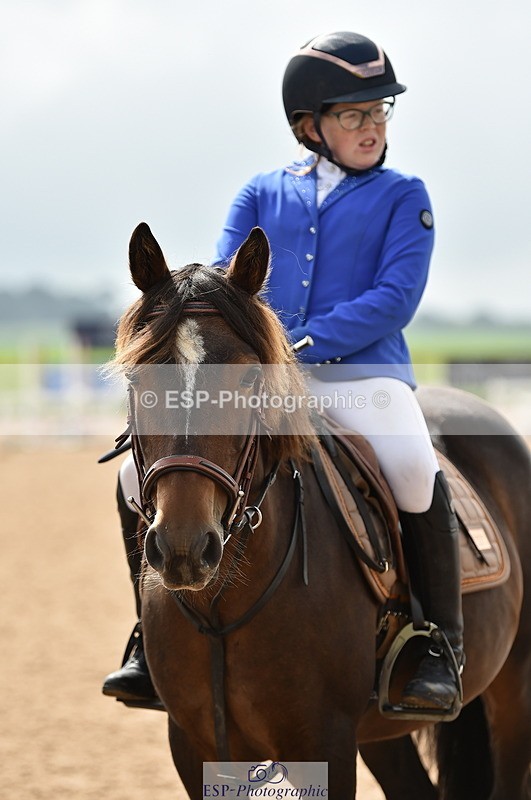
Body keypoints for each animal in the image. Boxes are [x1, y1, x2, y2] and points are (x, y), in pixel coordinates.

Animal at [111, 222, 531, 799]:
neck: (223, 605)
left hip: (514, 696)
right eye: (138, 381)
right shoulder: (194, 748)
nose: (183, 548)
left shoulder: (324, 742)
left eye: (248, 380)